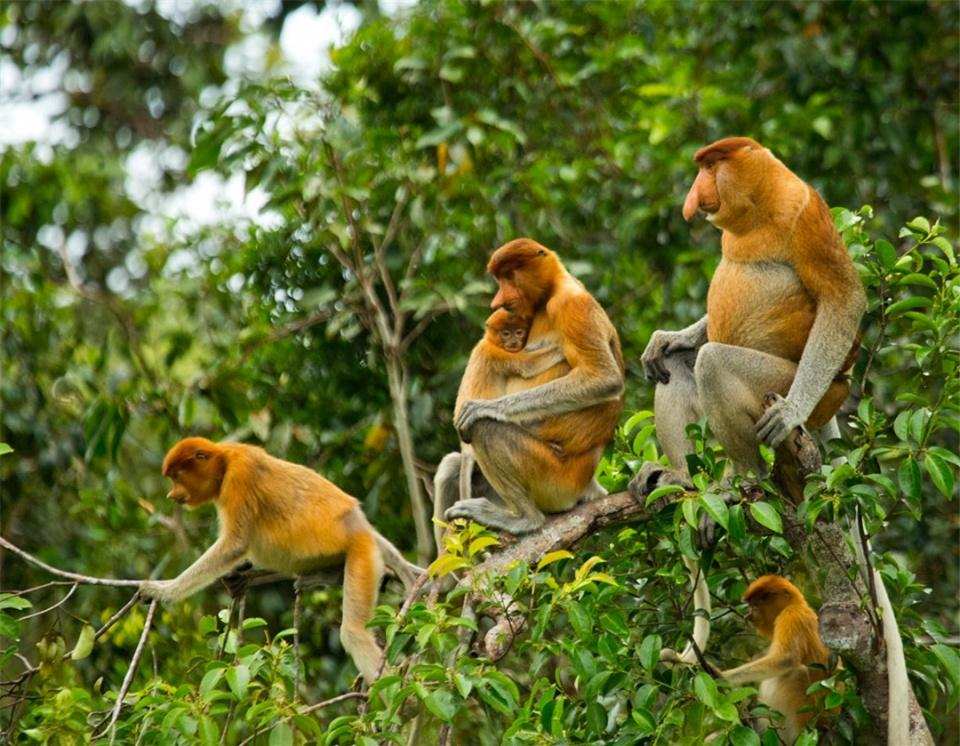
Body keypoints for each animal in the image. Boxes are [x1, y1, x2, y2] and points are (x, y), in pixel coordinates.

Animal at [139, 436, 424, 680]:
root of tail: (360, 525)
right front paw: (236, 578)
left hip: (361, 554)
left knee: (354, 633)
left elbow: (235, 544)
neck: (224, 460)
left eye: (177, 476)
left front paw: (162, 590)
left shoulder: (240, 476)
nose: (172, 495)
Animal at [434, 241, 628, 536]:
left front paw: (481, 407)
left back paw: (525, 519)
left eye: (509, 276)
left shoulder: (571, 304)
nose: (498, 300)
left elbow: (604, 377)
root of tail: (586, 484)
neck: (552, 290)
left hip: (553, 480)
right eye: (500, 279)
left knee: (485, 428)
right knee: (452, 464)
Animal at [632, 135, 868, 668]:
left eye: (709, 166)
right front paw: (668, 337)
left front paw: (790, 412)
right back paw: (681, 479)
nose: (693, 198)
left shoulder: (805, 214)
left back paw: (740, 480)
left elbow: (844, 298)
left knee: (714, 362)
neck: (760, 207)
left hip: (802, 385)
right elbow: (676, 353)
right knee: (680, 368)